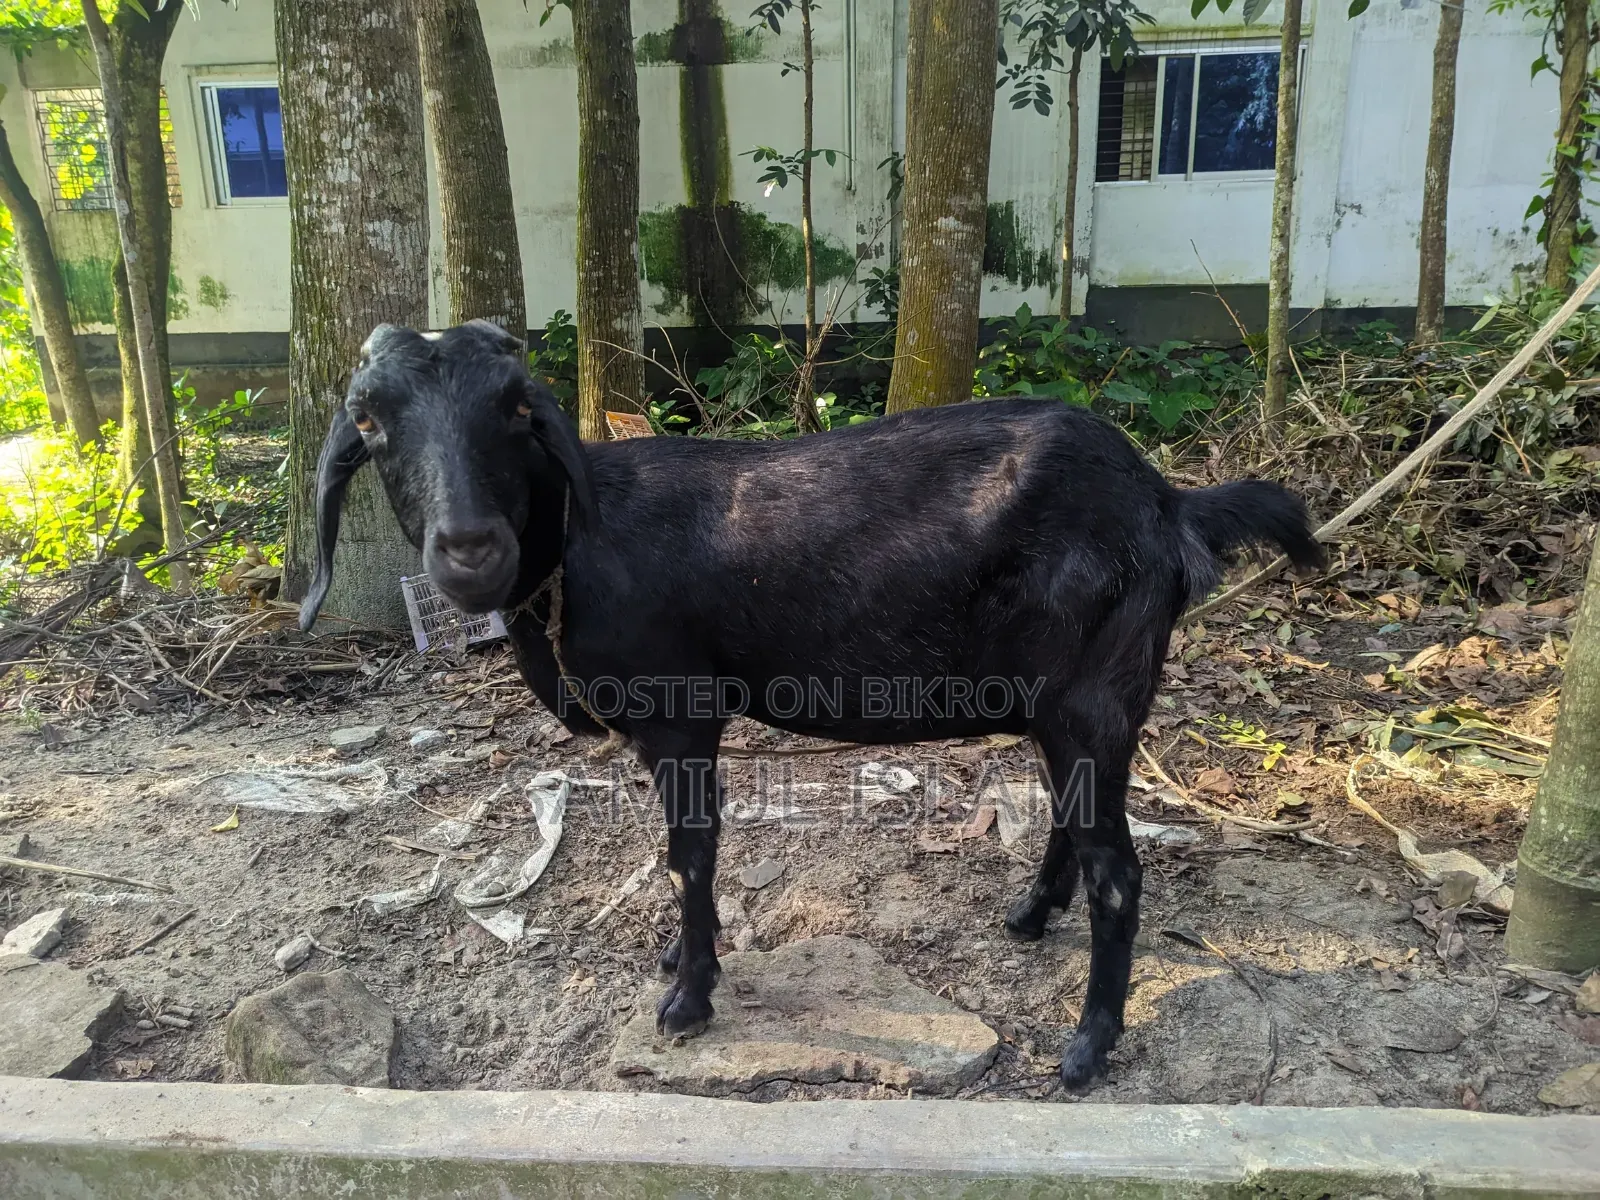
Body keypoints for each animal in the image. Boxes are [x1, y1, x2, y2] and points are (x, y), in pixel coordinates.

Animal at [300, 319, 1324, 1087]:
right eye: (371, 420)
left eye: (517, 409)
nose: (469, 548)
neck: (578, 552)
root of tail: (1166, 503)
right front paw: (681, 961)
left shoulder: (681, 712)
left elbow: (690, 857)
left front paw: (689, 1000)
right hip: (1068, 701)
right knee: (1078, 822)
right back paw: (1032, 918)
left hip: (1093, 692)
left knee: (1121, 873)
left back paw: (1086, 1050)